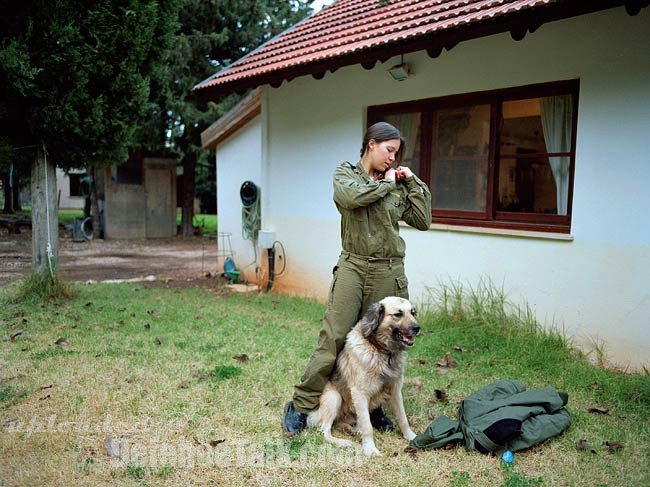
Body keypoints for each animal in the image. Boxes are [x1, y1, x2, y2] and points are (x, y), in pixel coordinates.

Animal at [306, 296, 420, 460]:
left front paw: (411, 436)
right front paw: (370, 449)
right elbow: (368, 426)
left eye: (413, 313)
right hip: (334, 397)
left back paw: (349, 429)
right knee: (324, 430)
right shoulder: (360, 393)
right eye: (398, 314)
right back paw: (342, 441)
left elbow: (402, 418)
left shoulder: (395, 391)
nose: (417, 328)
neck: (381, 352)